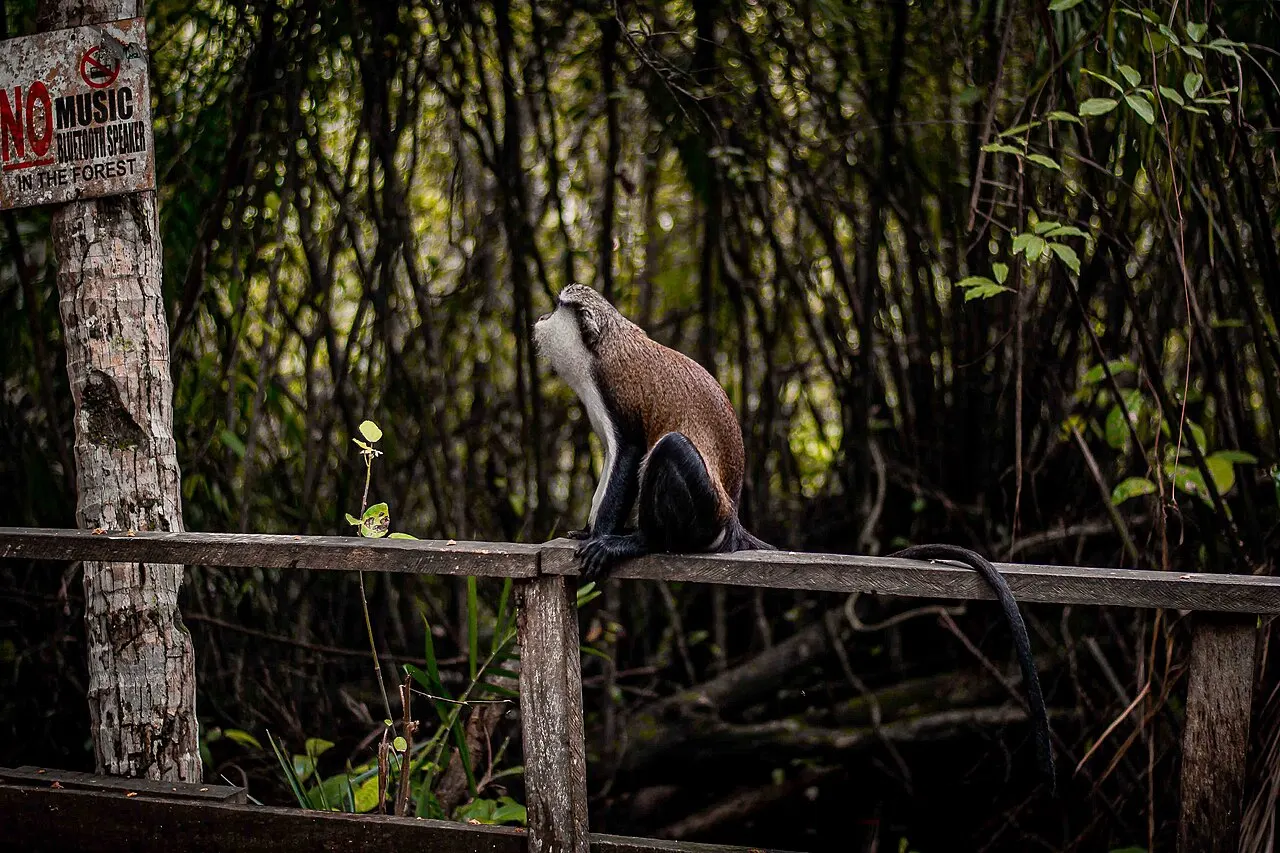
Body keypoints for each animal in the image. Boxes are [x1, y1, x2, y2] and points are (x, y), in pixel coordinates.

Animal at [534, 284, 1054, 791]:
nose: (539, 318)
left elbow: (630, 451)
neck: (602, 343)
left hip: (702, 512)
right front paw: (586, 530)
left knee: (670, 448)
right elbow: (611, 462)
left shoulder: (614, 391)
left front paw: (605, 540)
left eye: (558, 305)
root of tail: (732, 520)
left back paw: (646, 541)